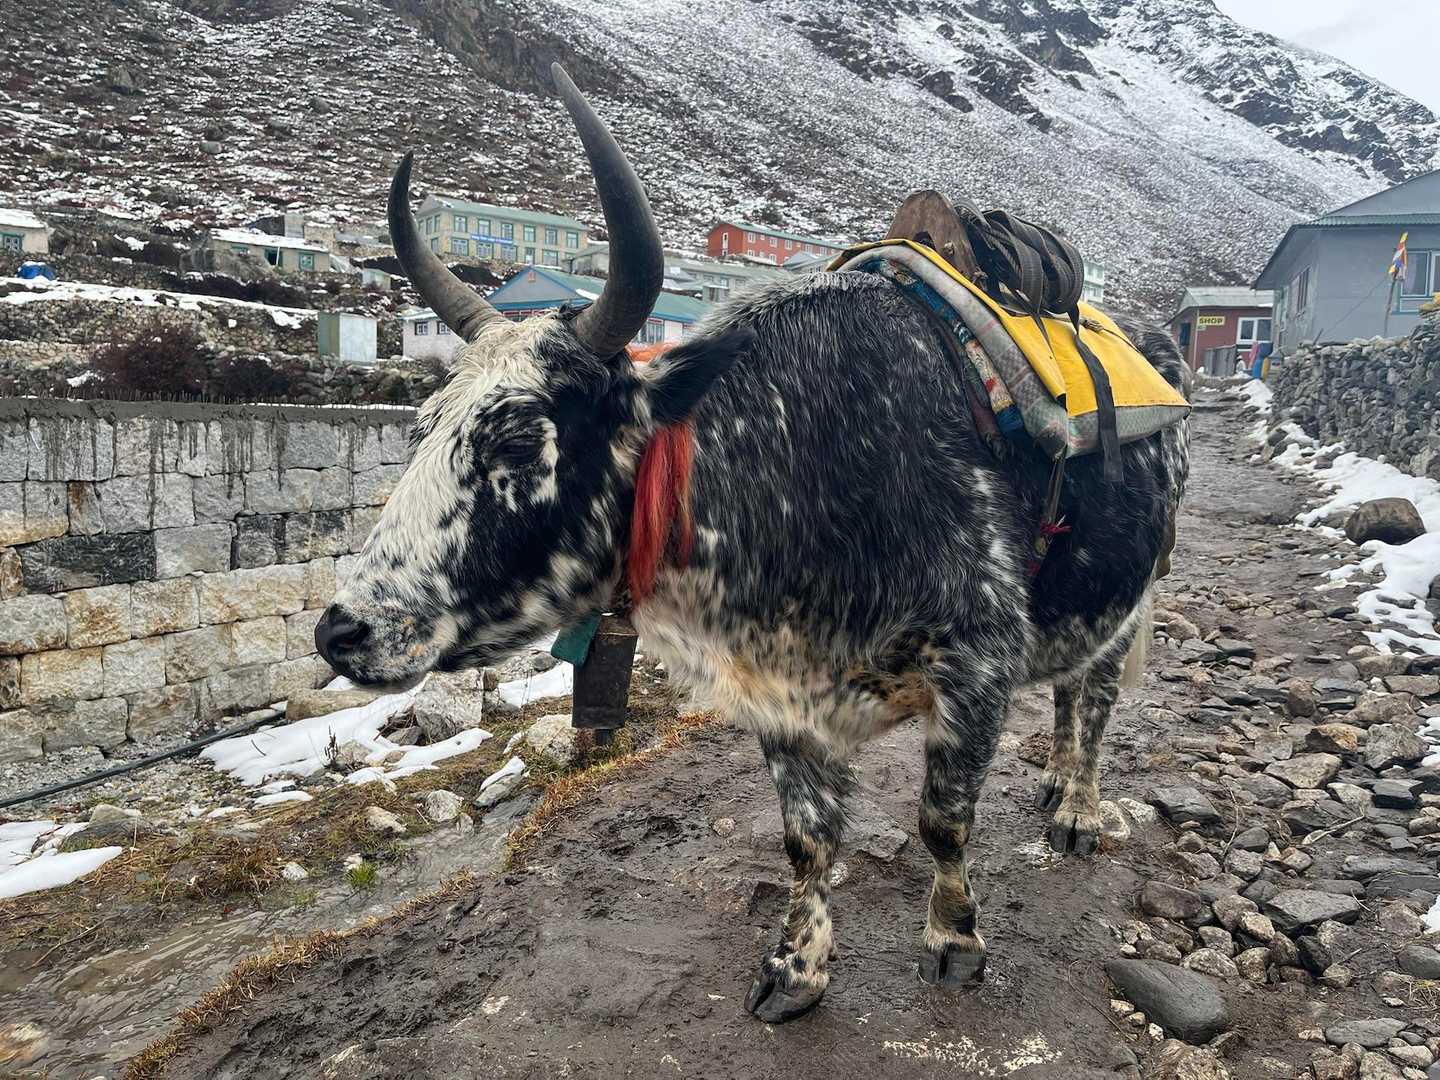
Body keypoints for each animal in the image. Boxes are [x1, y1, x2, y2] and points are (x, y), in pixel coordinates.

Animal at [315, 64, 1189, 1024]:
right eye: (423, 425)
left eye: (516, 440)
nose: (342, 632)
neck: (804, 456)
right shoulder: (778, 694)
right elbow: (807, 837)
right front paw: (796, 971)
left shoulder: (976, 667)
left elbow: (942, 819)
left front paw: (955, 943)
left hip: (1136, 589)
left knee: (1095, 697)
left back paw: (1077, 810)